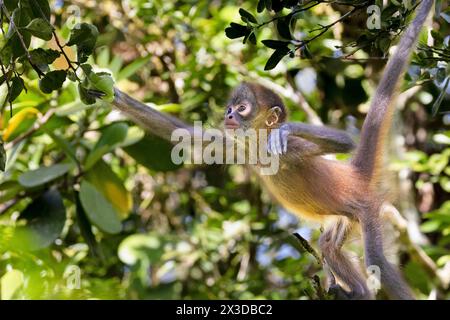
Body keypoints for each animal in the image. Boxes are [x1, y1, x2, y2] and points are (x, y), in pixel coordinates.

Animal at [108, 0, 432, 300]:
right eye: (230, 108)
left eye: (241, 108)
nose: (228, 115)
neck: (257, 146)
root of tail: (355, 175)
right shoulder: (237, 146)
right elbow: (185, 135)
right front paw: (112, 95)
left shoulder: (288, 151)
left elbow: (343, 141)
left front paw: (284, 129)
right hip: (346, 218)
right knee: (328, 245)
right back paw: (357, 291)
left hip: (365, 209)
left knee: (377, 260)